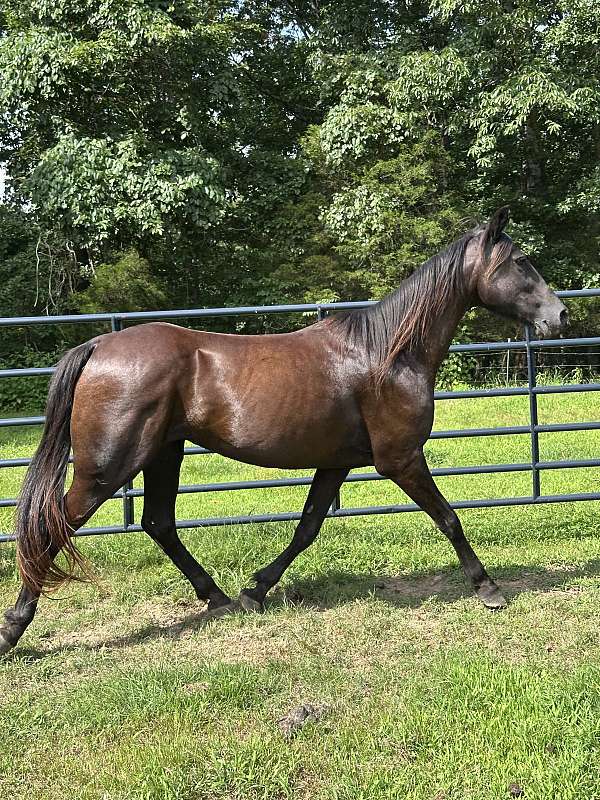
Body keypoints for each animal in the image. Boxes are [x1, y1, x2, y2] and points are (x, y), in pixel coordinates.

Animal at [0, 207, 568, 655]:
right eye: (520, 262)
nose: (561, 315)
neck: (389, 354)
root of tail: (98, 346)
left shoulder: (337, 462)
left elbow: (307, 527)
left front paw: (256, 591)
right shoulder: (401, 458)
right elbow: (449, 518)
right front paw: (488, 588)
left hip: (164, 454)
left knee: (158, 522)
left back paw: (217, 598)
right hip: (107, 467)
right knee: (53, 527)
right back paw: (13, 630)